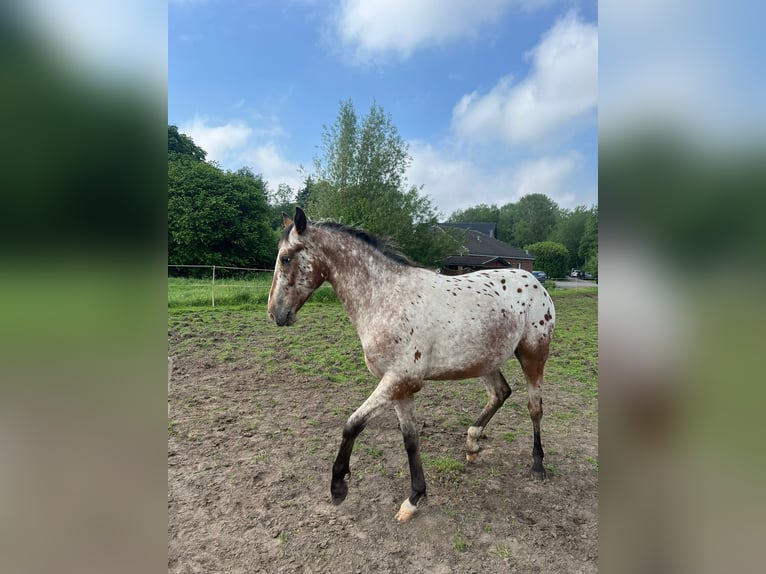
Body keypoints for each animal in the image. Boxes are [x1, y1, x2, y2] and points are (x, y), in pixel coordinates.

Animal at [270, 209, 560, 524]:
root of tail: (533, 280)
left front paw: (338, 488)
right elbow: (410, 439)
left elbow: (352, 424)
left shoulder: (399, 380)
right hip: (486, 360)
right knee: (500, 393)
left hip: (533, 355)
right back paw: (472, 444)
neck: (384, 298)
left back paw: (537, 465)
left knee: (534, 407)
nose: (275, 313)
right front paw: (413, 499)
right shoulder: (400, 388)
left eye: (286, 258)